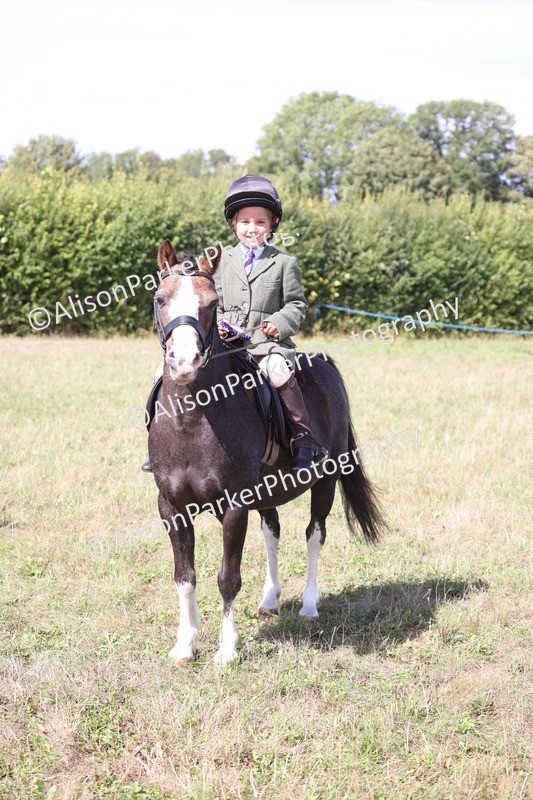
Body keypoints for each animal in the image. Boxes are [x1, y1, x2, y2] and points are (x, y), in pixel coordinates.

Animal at [148, 239, 386, 665]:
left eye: (211, 303)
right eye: (161, 299)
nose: (185, 362)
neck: (192, 418)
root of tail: (323, 363)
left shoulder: (234, 505)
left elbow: (227, 578)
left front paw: (226, 649)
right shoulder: (171, 508)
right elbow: (185, 577)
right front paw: (185, 644)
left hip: (325, 481)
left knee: (314, 534)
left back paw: (309, 605)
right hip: (267, 491)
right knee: (272, 531)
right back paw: (270, 600)